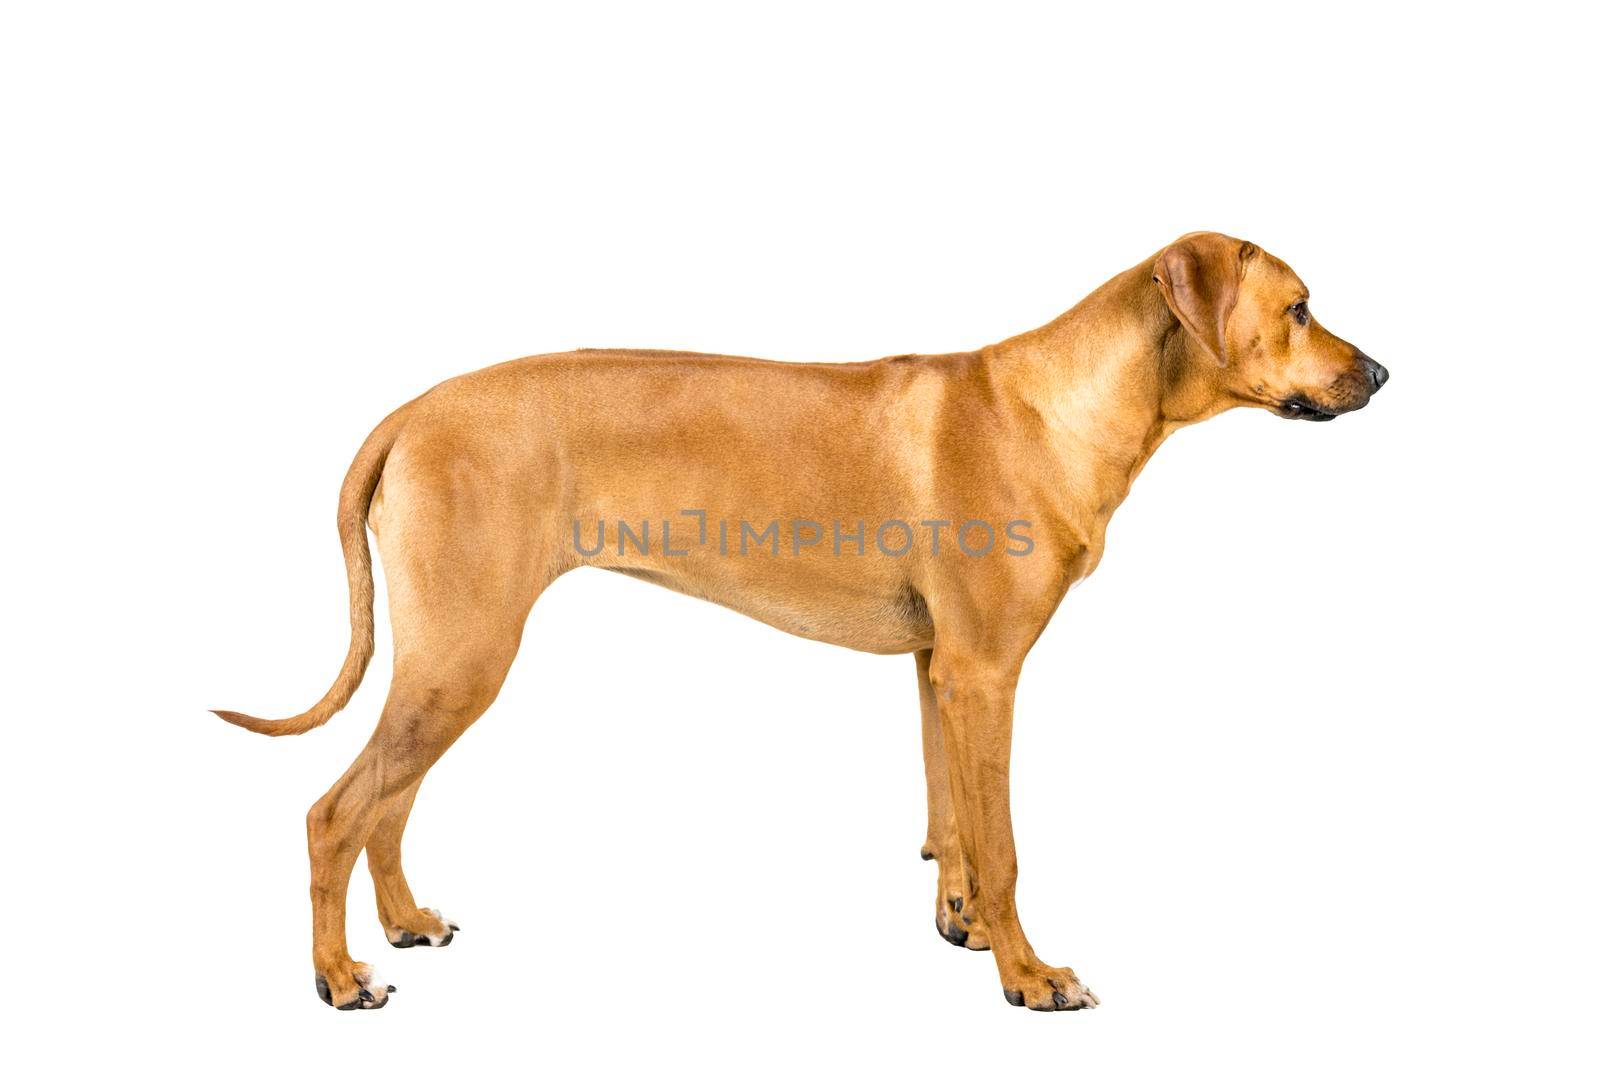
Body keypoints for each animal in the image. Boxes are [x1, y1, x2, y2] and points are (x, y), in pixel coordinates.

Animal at [212, 231, 1388, 1011]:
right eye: (1299, 305)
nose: (1379, 371)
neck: (1060, 405)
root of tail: (409, 412)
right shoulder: (987, 670)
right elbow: (1005, 841)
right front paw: (1029, 974)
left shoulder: (937, 665)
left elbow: (951, 819)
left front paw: (961, 923)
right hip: (465, 655)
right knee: (335, 810)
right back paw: (337, 975)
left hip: (447, 658)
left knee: (388, 802)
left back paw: (406, 922)